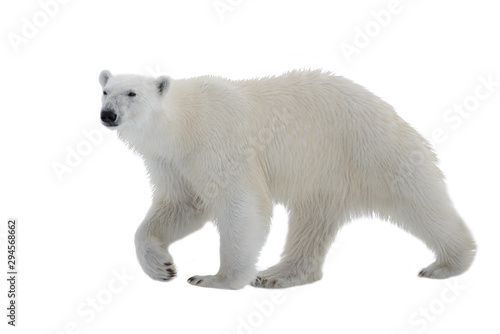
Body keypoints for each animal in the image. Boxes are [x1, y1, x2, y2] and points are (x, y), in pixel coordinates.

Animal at [98, 69, 476, 288]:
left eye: (132, 93)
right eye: (105, 90)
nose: (108, 115)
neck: (184, 123)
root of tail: (387, 107)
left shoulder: (220, 142)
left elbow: (240, 204)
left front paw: (216, 278)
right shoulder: (171, 162)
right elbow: (182, 206)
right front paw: (161, 266)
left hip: (369, 149)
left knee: (418, 200)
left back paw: (447, 263)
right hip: (326, 174)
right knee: (312, 221)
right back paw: (278, 275)